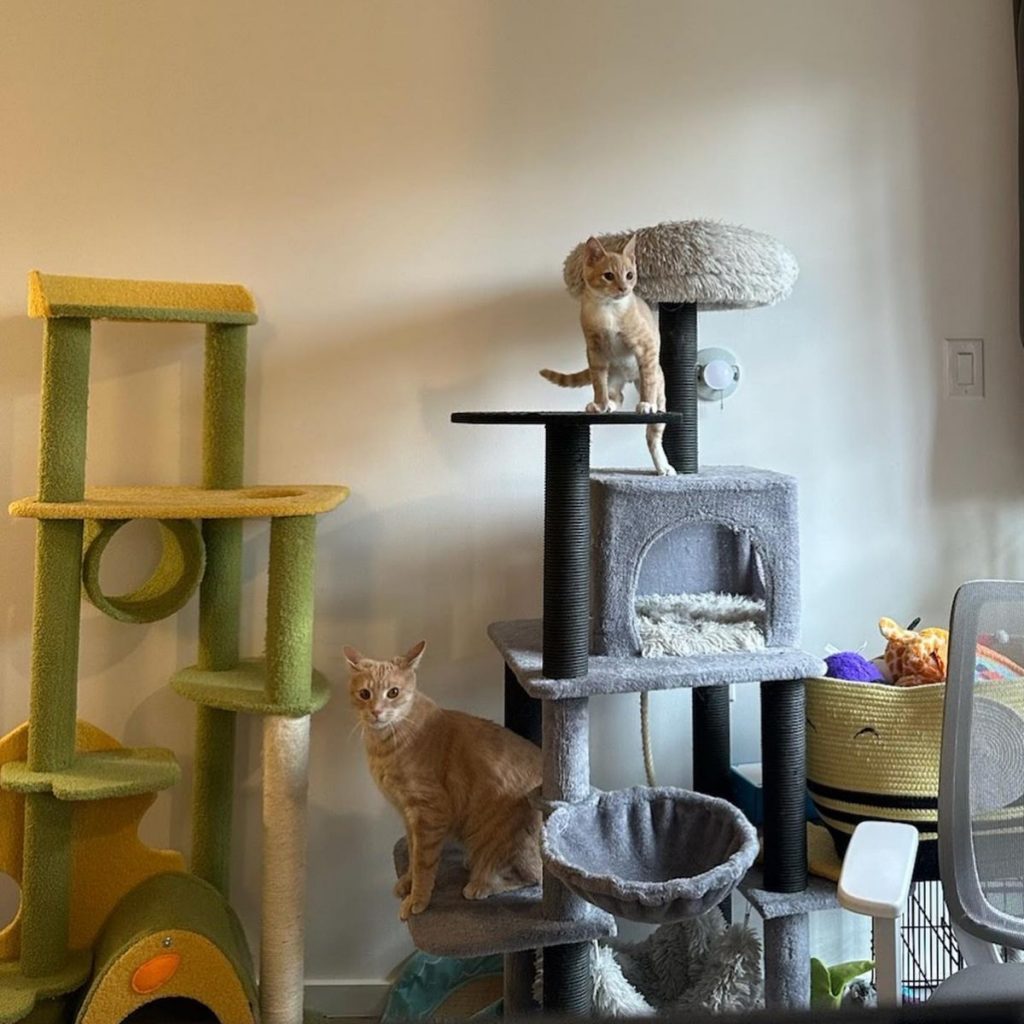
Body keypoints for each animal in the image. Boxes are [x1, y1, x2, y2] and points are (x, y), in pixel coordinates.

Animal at [346, 638, 544, 921]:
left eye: (393, 693)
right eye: (365, 694)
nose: (376, 712)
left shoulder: (429, 813)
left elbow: (423, 863)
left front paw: (417, 899)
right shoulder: (409, 815)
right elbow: (412, 852)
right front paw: (407, 882)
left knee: (531, 876)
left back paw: (481, 884)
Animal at [540, 233, 675, 475]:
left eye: (630, 275)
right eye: (609, 276)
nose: (624, 288)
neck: (608, 310)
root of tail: (628, 377)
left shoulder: (646, 346)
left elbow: (649, 381)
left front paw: (647, 404)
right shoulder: (595, 351)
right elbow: (598, 383)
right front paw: (601, 404)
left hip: (657, 392)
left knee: (653, 435)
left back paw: (663, 465)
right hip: (614, 374)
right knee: (618, 395)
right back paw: (609, 405)